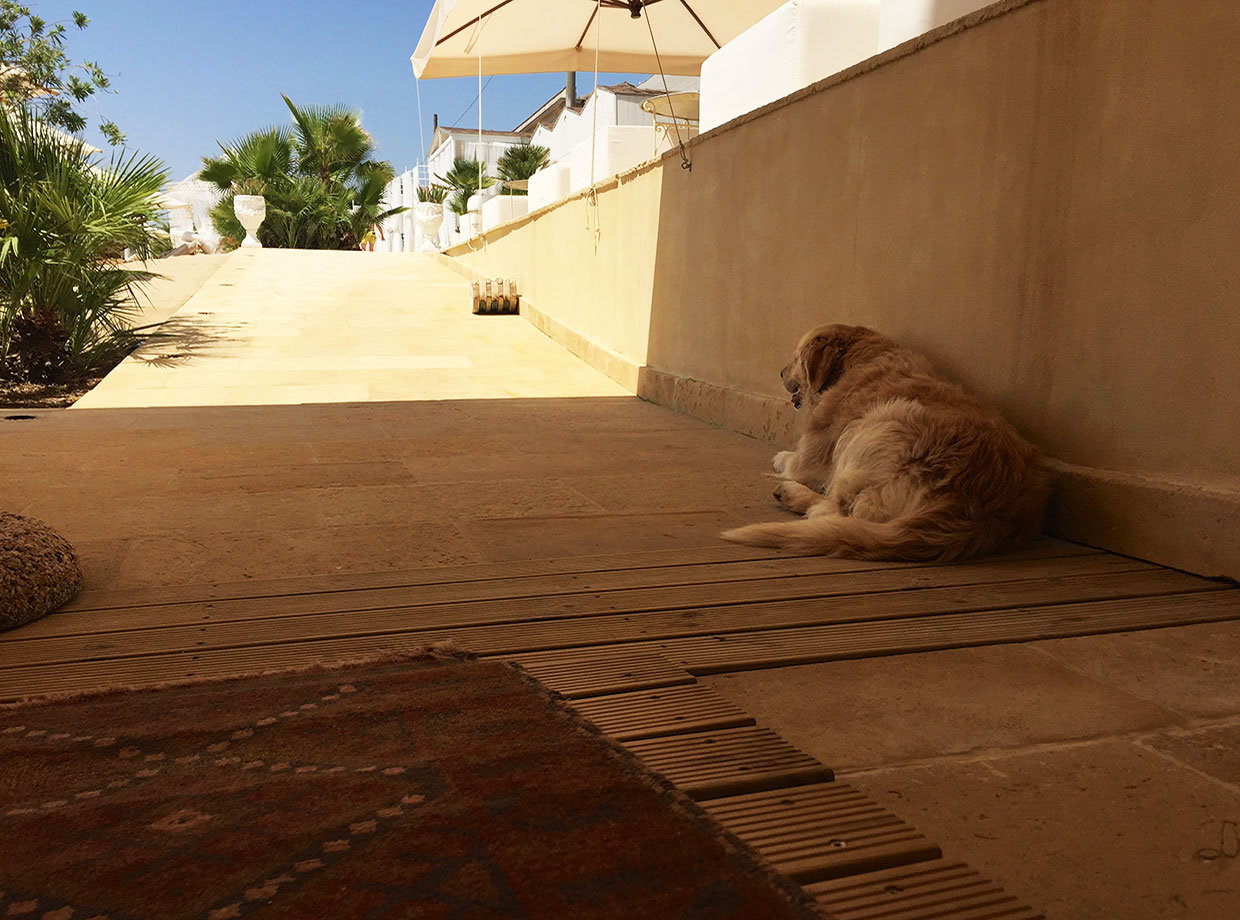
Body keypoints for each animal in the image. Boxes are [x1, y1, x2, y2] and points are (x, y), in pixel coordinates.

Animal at [724, 324, 1051, 562]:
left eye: (795, 358)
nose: (780, 373)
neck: (857, 361)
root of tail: (972, 506)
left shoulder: (811, 456)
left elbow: (791, 459)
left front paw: (780, 459)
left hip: (875, 424)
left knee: (837, 510)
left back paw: (791, 494)